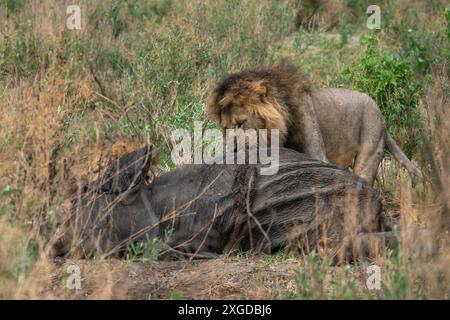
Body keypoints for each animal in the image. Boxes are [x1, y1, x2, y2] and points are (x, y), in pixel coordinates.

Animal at [208, 63, 422, 184]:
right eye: (225, 129)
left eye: (241, 123)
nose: (234, 150)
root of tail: (380, 113)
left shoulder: (318, 156)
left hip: (370, 148)